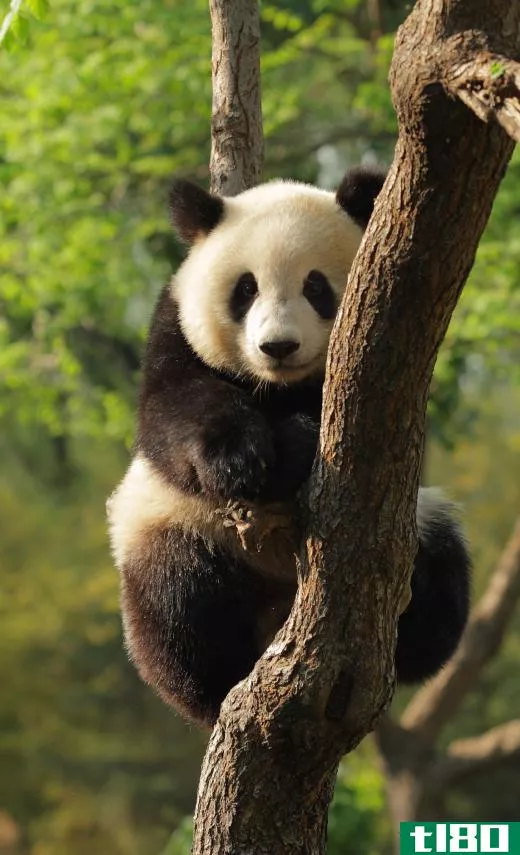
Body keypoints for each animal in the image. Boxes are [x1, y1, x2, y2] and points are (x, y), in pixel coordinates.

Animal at [106, 167, 472, 728]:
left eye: (315, 285)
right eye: (246, 288)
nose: (278, 347)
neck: (278, 387)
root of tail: (278, 610)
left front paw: (296, 444)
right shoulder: (174, 329)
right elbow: (172, 412)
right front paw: (244, 460)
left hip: (418, 524)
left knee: (443, 584)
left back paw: (416, 614)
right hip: (177, 527)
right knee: (175, 602)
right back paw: (215, 685)